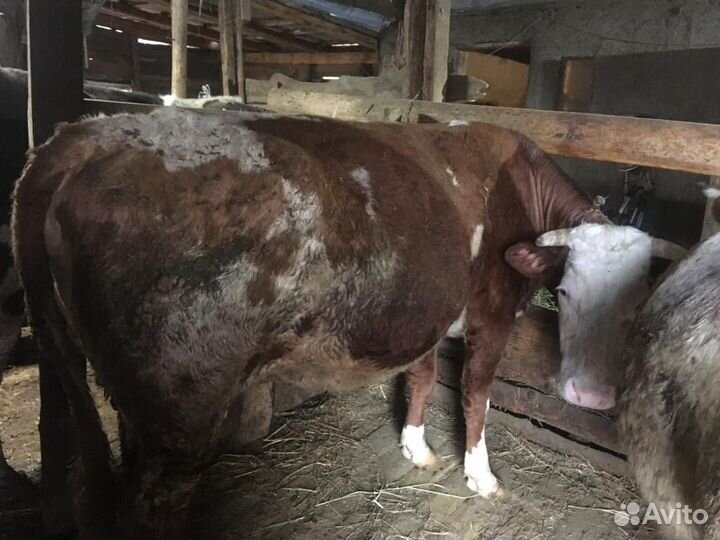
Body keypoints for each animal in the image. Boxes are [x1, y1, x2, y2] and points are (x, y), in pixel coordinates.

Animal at [12, 107, 682, 539]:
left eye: (636, 307)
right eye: (563, 291)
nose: (590, 397)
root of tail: (88, 134)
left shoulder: (430, 311)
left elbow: (420, 378)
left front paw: (417, 448)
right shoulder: (491, 313)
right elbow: (475, 393)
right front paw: (480, 475)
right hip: (185, 410)